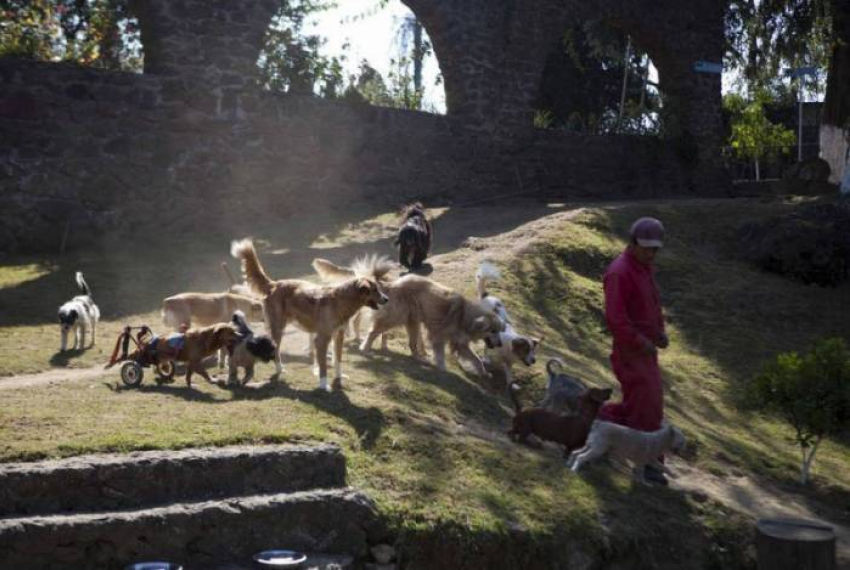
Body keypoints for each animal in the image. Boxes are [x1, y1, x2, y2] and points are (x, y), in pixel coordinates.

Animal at [229, 236, 388, 390]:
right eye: (374, 290)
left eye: (378, 288)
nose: (387, 299)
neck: (340, 301)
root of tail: (274, 284)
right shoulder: (322, 339)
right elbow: (323, 365)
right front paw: (323, 385)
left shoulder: (338, 336)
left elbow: (338, 359)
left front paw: (339, 376)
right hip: (278, 329)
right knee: (276, 351)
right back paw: (280, 369)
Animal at [358, 272, 504, 374]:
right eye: (492, 331)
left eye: (498, 331)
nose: (500, 344)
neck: (464, 315)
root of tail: (393, 284)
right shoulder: (438, 336)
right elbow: (440, 355)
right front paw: (442, 368)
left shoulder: (460, 343)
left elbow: (476, 359)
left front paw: (483, 372)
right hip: (395, 317)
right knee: (373, 331)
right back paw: (365, 348)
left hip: (413, 321)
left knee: (411, 344)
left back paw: (419, 358)